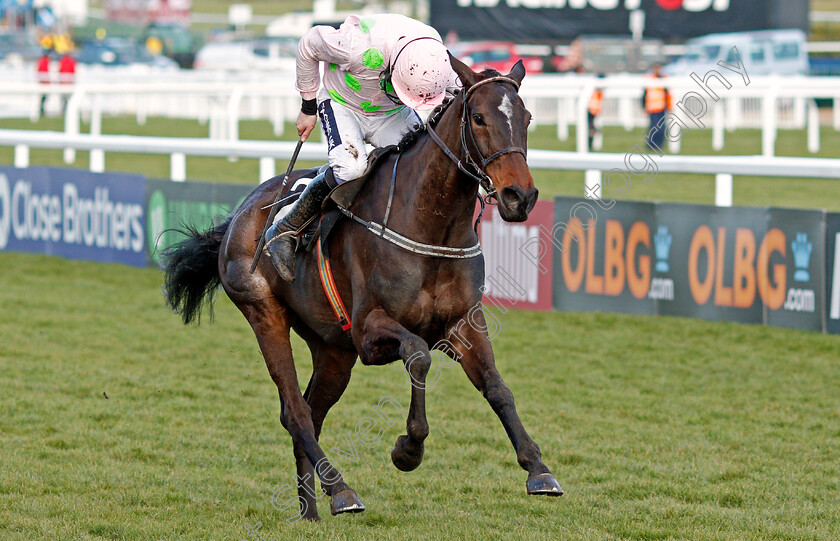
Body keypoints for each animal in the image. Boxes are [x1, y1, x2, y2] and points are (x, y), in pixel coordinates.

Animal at [161, 56, 560, 520]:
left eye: (527, 118)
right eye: (478, 117)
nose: (520, 196)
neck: (431, 224)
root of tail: (242, 213)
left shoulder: (463, 322)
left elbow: (498, 388)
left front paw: (538, 470)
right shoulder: (370, 333)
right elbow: (418, 355)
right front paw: (408, 449)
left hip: (332, 349)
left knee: (310, 412)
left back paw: (310, 510)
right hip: (265, 314)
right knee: (295, 411)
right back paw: (341, 491)